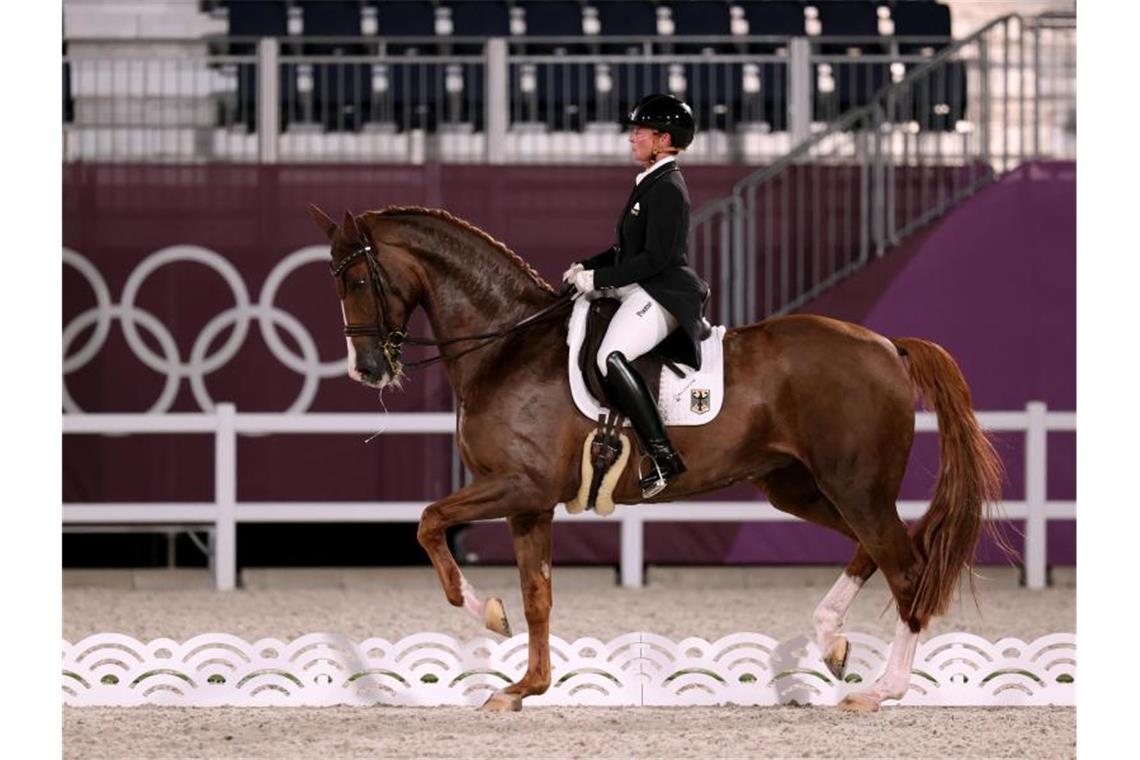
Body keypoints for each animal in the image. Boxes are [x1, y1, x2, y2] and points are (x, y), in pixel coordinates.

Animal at [305, 203, 1007, 715]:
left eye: (358, 279)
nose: (367, 370)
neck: (505, 347)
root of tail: (886, 345)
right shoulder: (529, 504)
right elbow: (537, 595)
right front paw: (524, 687)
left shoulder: (517, 486)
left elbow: (429, 523)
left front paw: (486, 615)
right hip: (802, 488)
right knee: (880, 547)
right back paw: (832, 640)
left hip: (852, 484)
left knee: (907, 568)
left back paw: (881, 690)